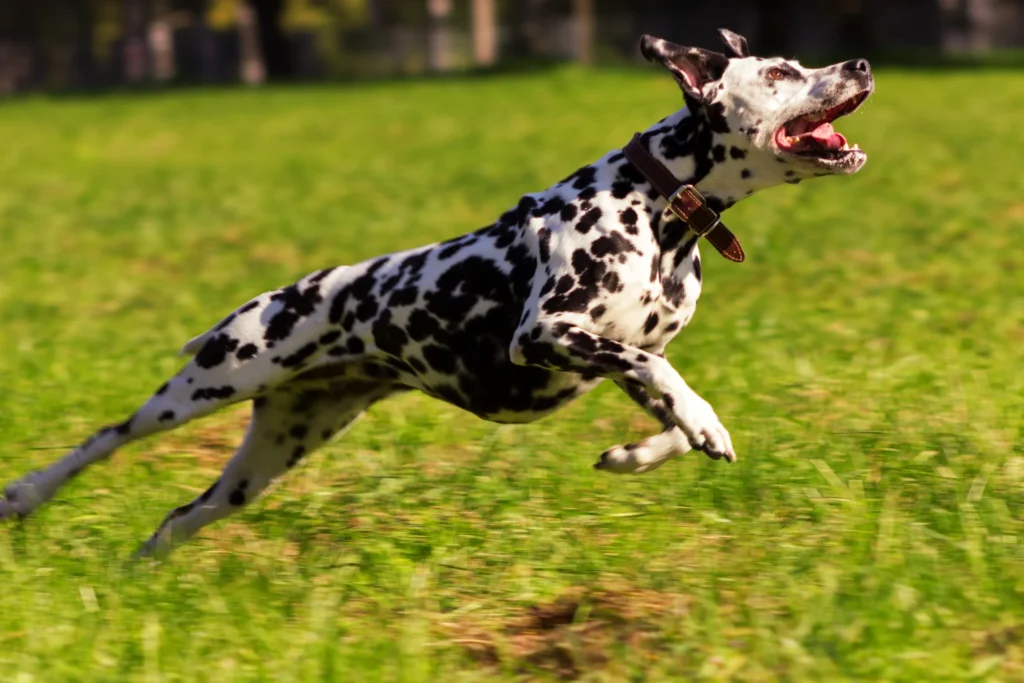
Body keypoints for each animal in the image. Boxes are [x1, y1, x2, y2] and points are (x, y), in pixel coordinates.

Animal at [4, 29, 876, 557]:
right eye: (780, 74)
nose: (861, 65)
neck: (660, 208)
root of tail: (283, 295)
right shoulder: (549, 332)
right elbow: (667, 378)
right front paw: (701, 422)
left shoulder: (616, 353)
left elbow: (665, 403)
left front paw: (646, 449)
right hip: (208, 381)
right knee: (106, 437)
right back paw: (27, 493)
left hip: (273, 452)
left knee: (181, 516)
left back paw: (140, 570)